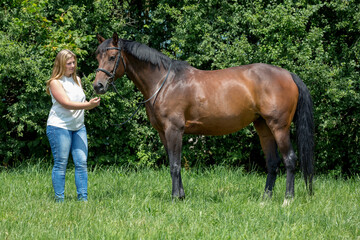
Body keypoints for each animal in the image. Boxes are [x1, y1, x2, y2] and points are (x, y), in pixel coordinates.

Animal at [93, 32, 316, 202]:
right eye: (97, 57)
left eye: (112, 57)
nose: (98, 86)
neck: (164, 82)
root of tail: (288, 75)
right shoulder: (164, 133)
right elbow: (173, 163)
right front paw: (181, 196)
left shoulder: (174, 130)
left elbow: (175, 165)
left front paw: (175, 198)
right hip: (264, 128)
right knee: (272, 163)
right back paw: (265, 199)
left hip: (279, 127)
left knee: (289, 159)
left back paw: (288, 199)